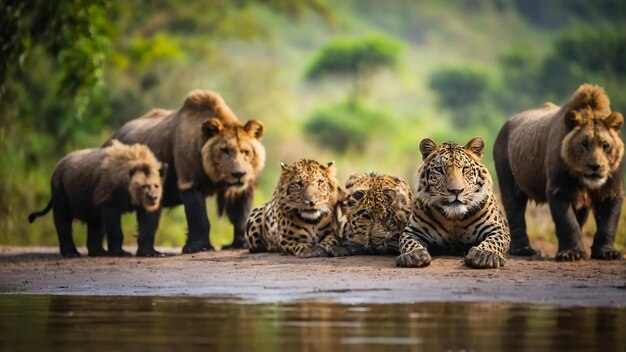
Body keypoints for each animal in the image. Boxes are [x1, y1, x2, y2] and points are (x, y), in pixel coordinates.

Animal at [27, 139, 165, 258]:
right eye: (144, 186)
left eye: (156, 185)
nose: (153, 197)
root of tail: (58, 164)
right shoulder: (108, 199)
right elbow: (114, 228)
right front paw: (121, 252)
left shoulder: (141, 204)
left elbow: (147, 223)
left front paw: (152, 252)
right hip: (62, 189)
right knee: (63, 219)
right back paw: (71, 253)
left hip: (88, 199)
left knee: (95, 222)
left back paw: (99, 252)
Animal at [103, 90, 264, 256]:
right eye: (224, 150)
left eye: (246, 151)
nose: (239, 174)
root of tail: (109, 138)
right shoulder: (189, 179)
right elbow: (199, 217)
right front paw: (199, 246)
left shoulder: (240, 187)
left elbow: (241, 212)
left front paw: (240, 243)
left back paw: (149, 251)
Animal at [398, 136, 510, 268]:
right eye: (439, 169)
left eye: (465, 168)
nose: (456, 190)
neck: (454, 218)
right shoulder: (412, 231)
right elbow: (407, 241)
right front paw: (413, 255)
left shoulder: (497, 229)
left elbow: (495, 241)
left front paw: (485, 255)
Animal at [494, 84, 620, 262]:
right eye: (583, 144)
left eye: (605, 145)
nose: (595, 166)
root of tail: (504, 126)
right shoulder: (558, 186)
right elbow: (566, 220)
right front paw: (571, 254)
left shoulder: (611, 187)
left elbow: (608, 221)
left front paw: (608, 253)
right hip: (507, 169)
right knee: (514, 205)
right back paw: (524, 250)